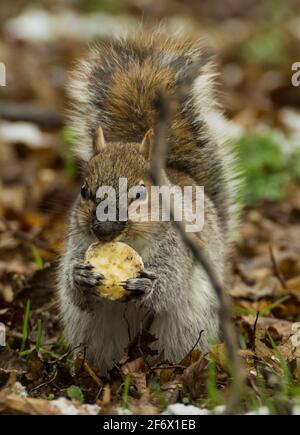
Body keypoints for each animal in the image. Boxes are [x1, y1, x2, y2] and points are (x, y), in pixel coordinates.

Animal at [58, 29, 240, 374]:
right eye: (84, 190)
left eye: (141, 193)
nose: (104, 230)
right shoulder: (77, 243)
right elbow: (74, 289)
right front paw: (80, 277)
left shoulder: (180, 245)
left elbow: (172, 281)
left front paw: (148, 287)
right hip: (96, 331)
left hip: (184, 325)